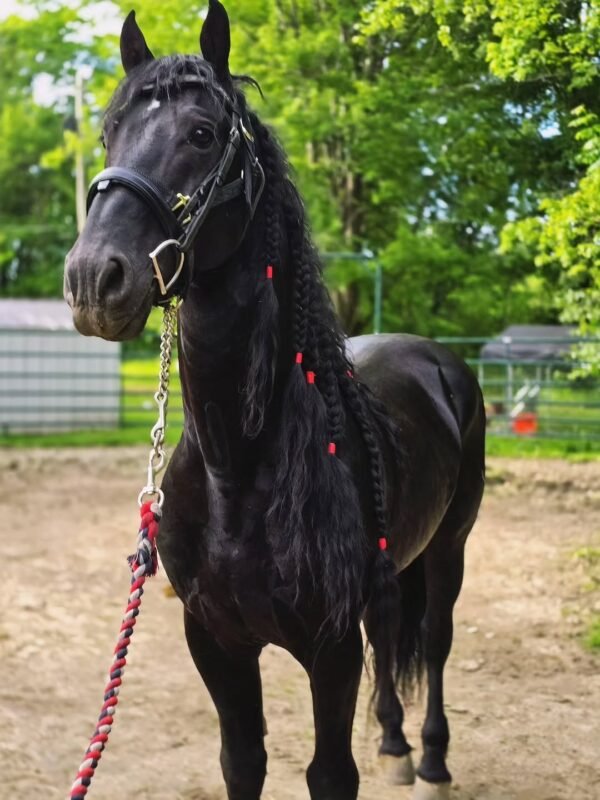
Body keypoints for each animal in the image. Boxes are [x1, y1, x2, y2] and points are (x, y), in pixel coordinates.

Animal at [64, 3, 486, 798]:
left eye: (202, 134)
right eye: (110, 132)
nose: (93, 280)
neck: (241, 465)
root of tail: (439, 361)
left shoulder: (330, 649)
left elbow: (329, 772)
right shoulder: (215, 639)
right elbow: (243, 760)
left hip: (450, 550)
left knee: (435, 643)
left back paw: (433, 760)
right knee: (393, 639)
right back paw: (394, 743)